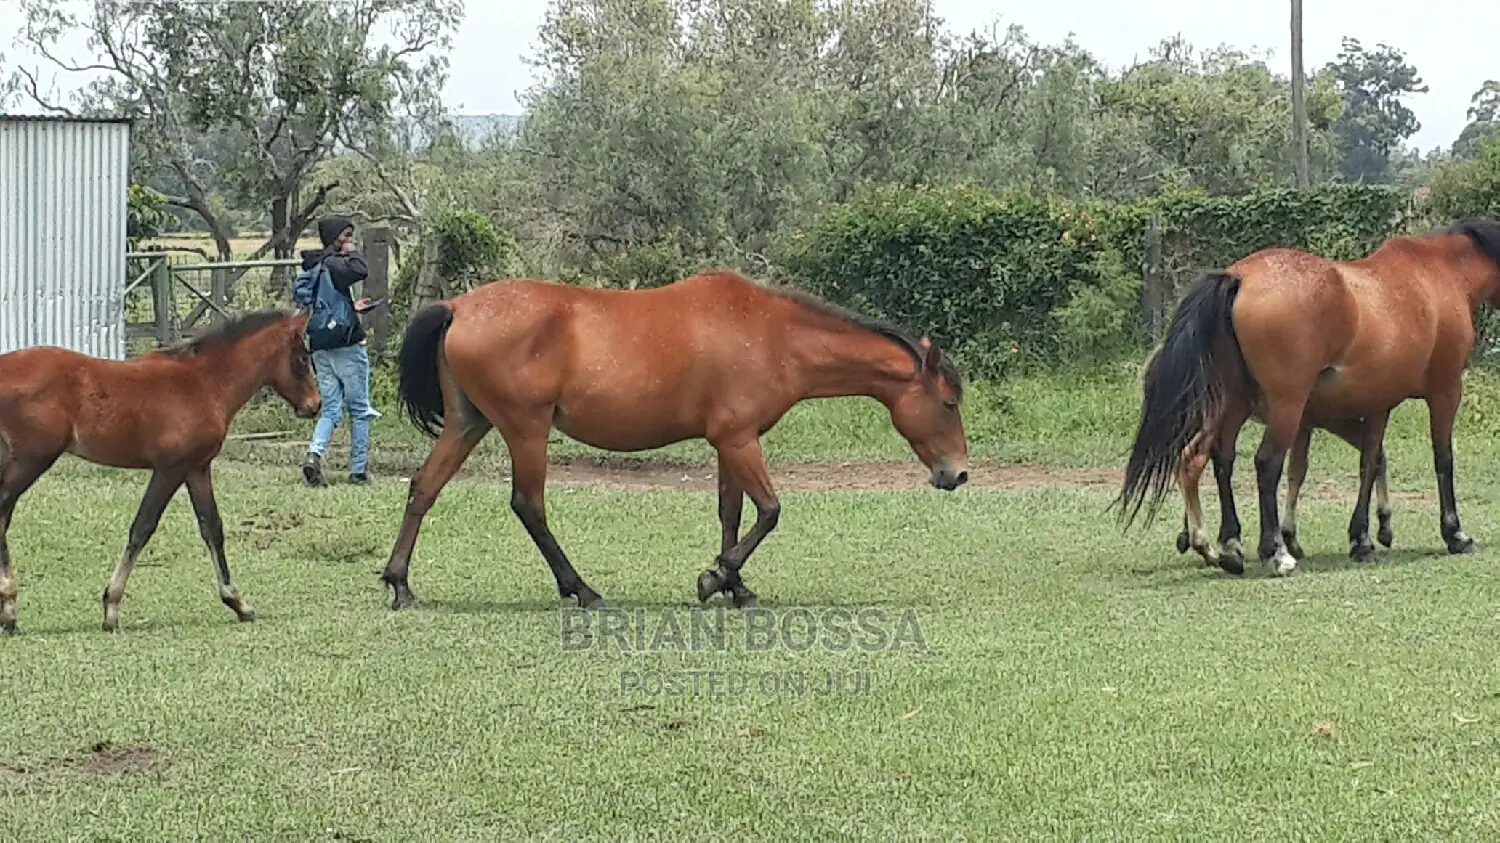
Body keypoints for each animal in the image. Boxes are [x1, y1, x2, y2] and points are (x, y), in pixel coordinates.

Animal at [0, 309, 321, 634]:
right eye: (302, 358)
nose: (314, 405)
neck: (206, 382)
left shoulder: (197, 468)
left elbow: (212, 528)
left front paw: (238, 603)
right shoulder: (170, 469)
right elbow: (142, 527)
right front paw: (111, 607)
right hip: (32, 460)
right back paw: (10, 608)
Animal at [382, 269, 970, 611]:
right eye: (948, 403)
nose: (959, 472)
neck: (776, 336)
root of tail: (457, 307)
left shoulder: (730, 443)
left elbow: (733, 514)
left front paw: (735, 586)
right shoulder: (739, 441)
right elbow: (770, 512)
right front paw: (716, 578)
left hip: (469, 423)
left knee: (423, 488)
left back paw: (400, 584)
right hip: (525, 429)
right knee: (529, 505)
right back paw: (582, 589)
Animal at [1119, 217, 1500, 576]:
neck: (1439, 273)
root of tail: (1239, 277)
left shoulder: (1378, 403)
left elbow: (1370, 462)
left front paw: (1362, 539)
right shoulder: (1445, 390)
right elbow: (1442, 459)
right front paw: (1455, 534)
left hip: (1235, 402)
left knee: (1215, 459)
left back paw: (1227, 548)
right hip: (1284, 406)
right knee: (1265, 463)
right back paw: (1275, 554)